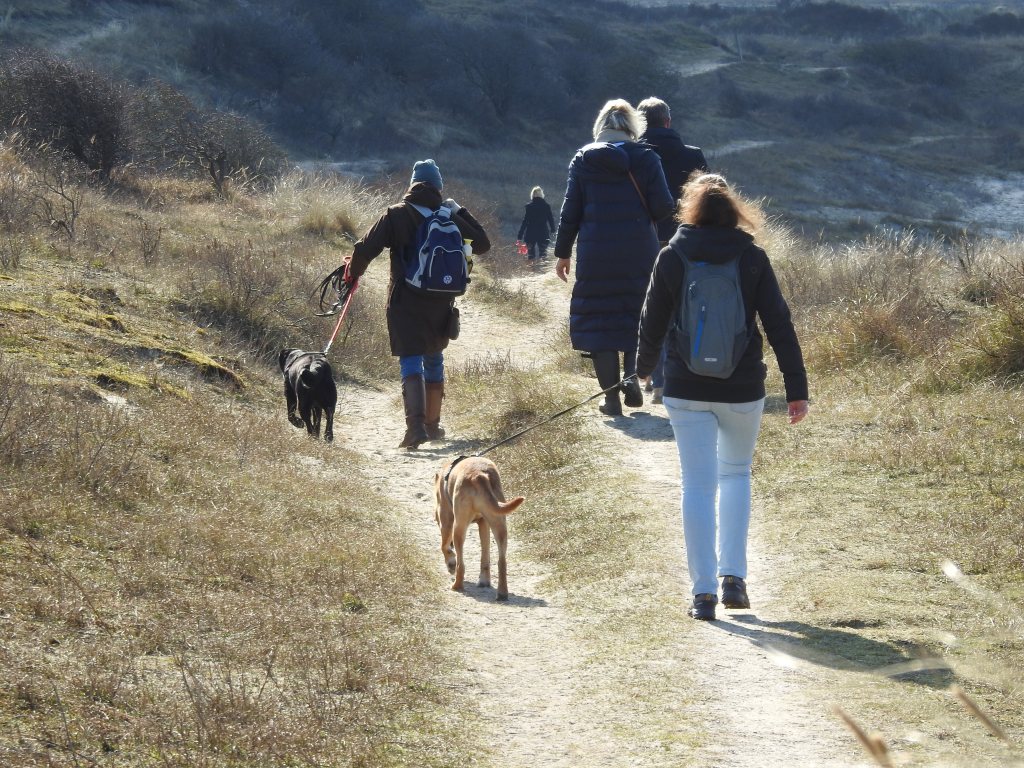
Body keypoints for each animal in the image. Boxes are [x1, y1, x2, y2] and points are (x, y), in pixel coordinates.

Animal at [433, 456, 525, 601]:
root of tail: (479, 475)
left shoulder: (446, 521)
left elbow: (444, 547)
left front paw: (450, 563)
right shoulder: (483, 524)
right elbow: (485, 556)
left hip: (458, 527)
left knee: (461, 564)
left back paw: (457, 586)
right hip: (499, 525)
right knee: (501, 561)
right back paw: (500, 592)